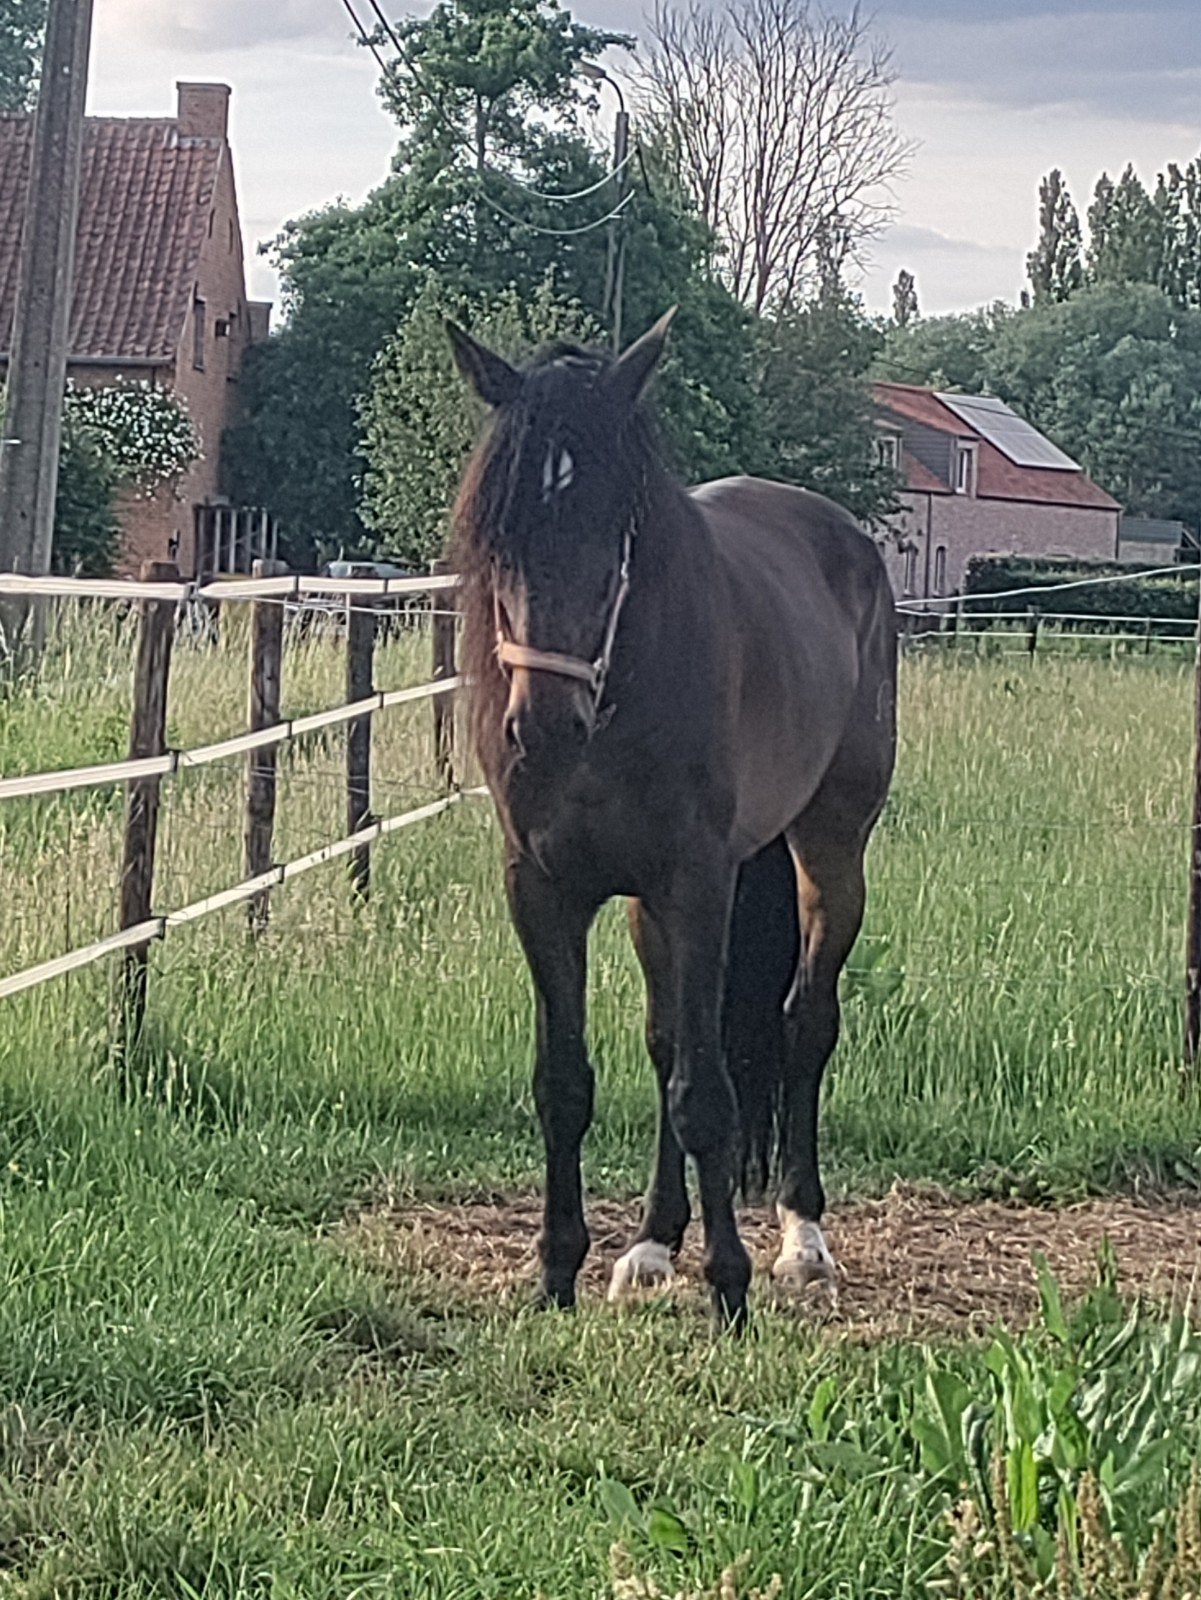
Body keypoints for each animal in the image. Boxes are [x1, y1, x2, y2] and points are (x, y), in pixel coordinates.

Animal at [447, 310, 897, 1327]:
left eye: (616, 526)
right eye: (500, 528)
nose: (542, 725)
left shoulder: (696, 882)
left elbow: (707, 1093)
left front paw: (729, 1284)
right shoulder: (544, 890)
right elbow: (568, 1081)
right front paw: (559, 1271)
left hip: (829, 853)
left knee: (803, 1022)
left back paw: (801, 1239)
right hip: (651, 906)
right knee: (665, 1044)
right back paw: (652, 1244)